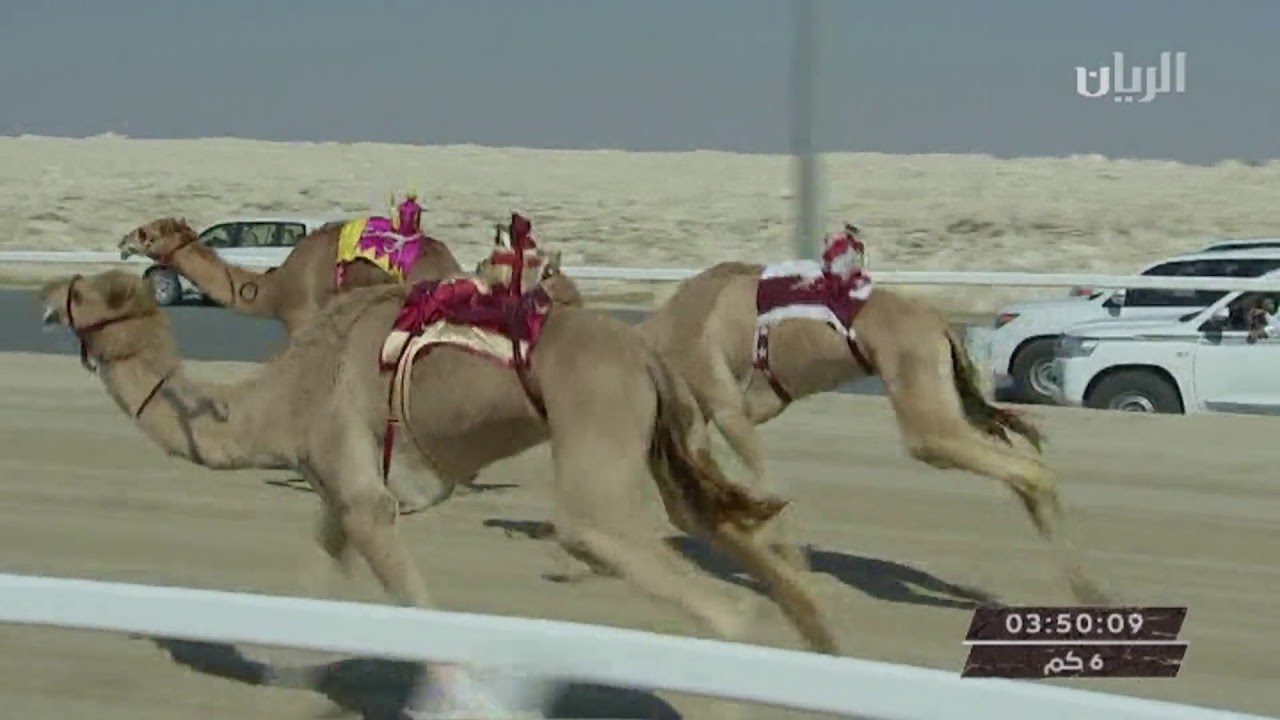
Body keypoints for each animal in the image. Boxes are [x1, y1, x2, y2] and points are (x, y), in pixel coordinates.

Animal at [36, 258, 839, 666]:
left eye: (83, 290)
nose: (44, 293)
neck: (278, 400)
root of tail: (644, 353)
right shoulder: (338, 500)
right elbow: (310, 595)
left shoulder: (366, 501)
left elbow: (422, 616)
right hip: (669, 443)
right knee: (722, 528)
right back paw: (822, 646)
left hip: (597, 447)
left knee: (695, 589)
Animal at [634, 224, 1110, 602]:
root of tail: (940, 324)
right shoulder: (727, 410)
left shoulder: (726, 406)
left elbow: (760, 480)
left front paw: (794, 568)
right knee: (1019, 467)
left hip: (924, 413)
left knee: (1029, 471)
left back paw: (1087, 592)